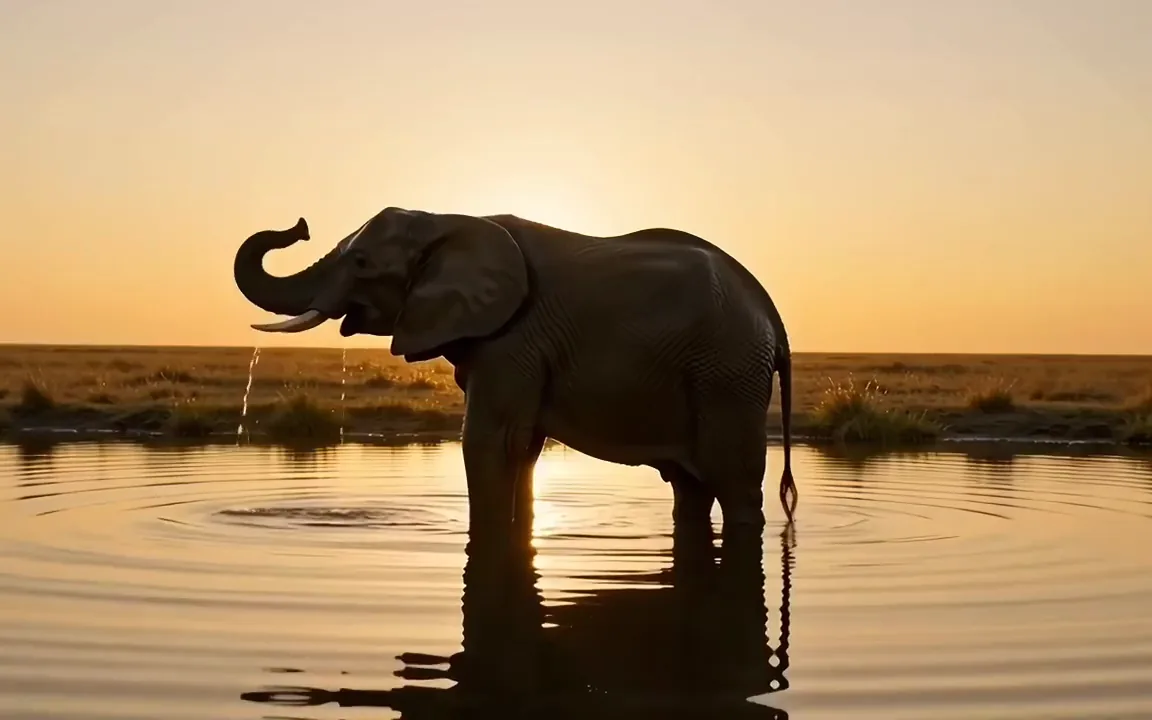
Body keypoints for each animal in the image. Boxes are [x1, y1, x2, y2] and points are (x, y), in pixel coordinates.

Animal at [233, 207, 798, 536]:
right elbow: (522, 445)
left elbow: (491, 438)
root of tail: (773, 316)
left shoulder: (514, 337)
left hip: (728, 373)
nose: (299, 228)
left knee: (734, 479)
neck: (449, 220)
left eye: (363, 264)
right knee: (691, 487)